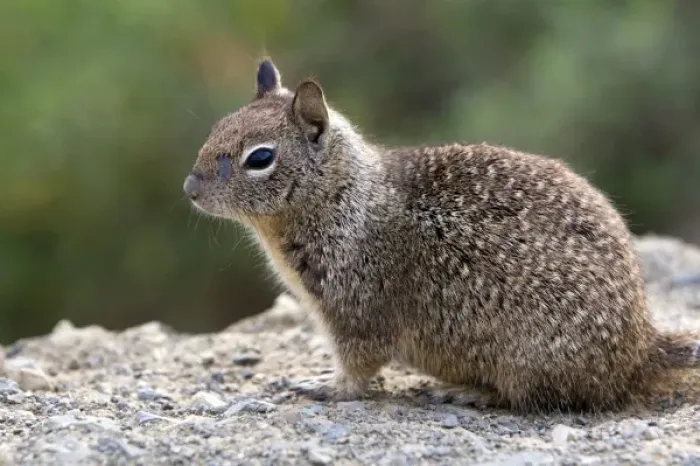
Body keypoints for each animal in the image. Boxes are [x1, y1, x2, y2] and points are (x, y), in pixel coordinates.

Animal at [183, 58, 700, 413]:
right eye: (215, 128)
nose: (189, 188)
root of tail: (641, 350)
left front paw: (326, 386)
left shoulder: (357, 308)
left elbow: (359, 365)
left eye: (259, 158)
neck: (345, 196)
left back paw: (470, 393)